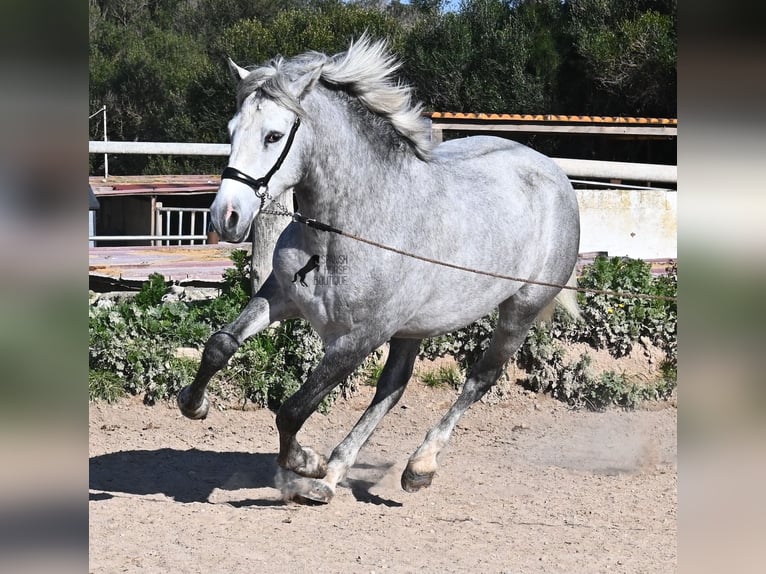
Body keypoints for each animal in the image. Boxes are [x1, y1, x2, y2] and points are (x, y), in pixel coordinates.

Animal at [177, 37, 580, 504]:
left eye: (273, 135)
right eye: (230, 131)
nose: (226, 217)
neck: (347, 230)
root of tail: (554, 174)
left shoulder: (360, 337)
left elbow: (294, 409)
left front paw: (305, 462)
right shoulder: (281, 296)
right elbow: (219, 345)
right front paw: (194, 403)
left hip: (520, 309)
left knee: (478, 379)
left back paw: (416, 467)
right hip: (413, 328)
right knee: (394, 386)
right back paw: (334, 476)